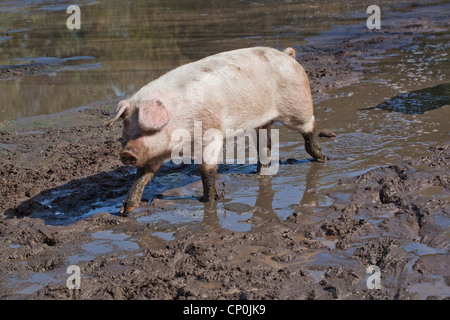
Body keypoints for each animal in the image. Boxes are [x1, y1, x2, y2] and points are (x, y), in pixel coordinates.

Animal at [105, 46, 326, 216]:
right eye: (126, 125)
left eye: (147, 128)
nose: (127, 153)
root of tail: (287, 55)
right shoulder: (155, 153)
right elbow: (143, 175)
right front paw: (125, 210)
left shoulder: (211, 134)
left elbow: (207, 170)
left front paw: (208, 200)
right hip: (263, 122)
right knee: (265, 144)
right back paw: (258, 172)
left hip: (297, 106)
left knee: (309, 126)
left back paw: (322, 158)